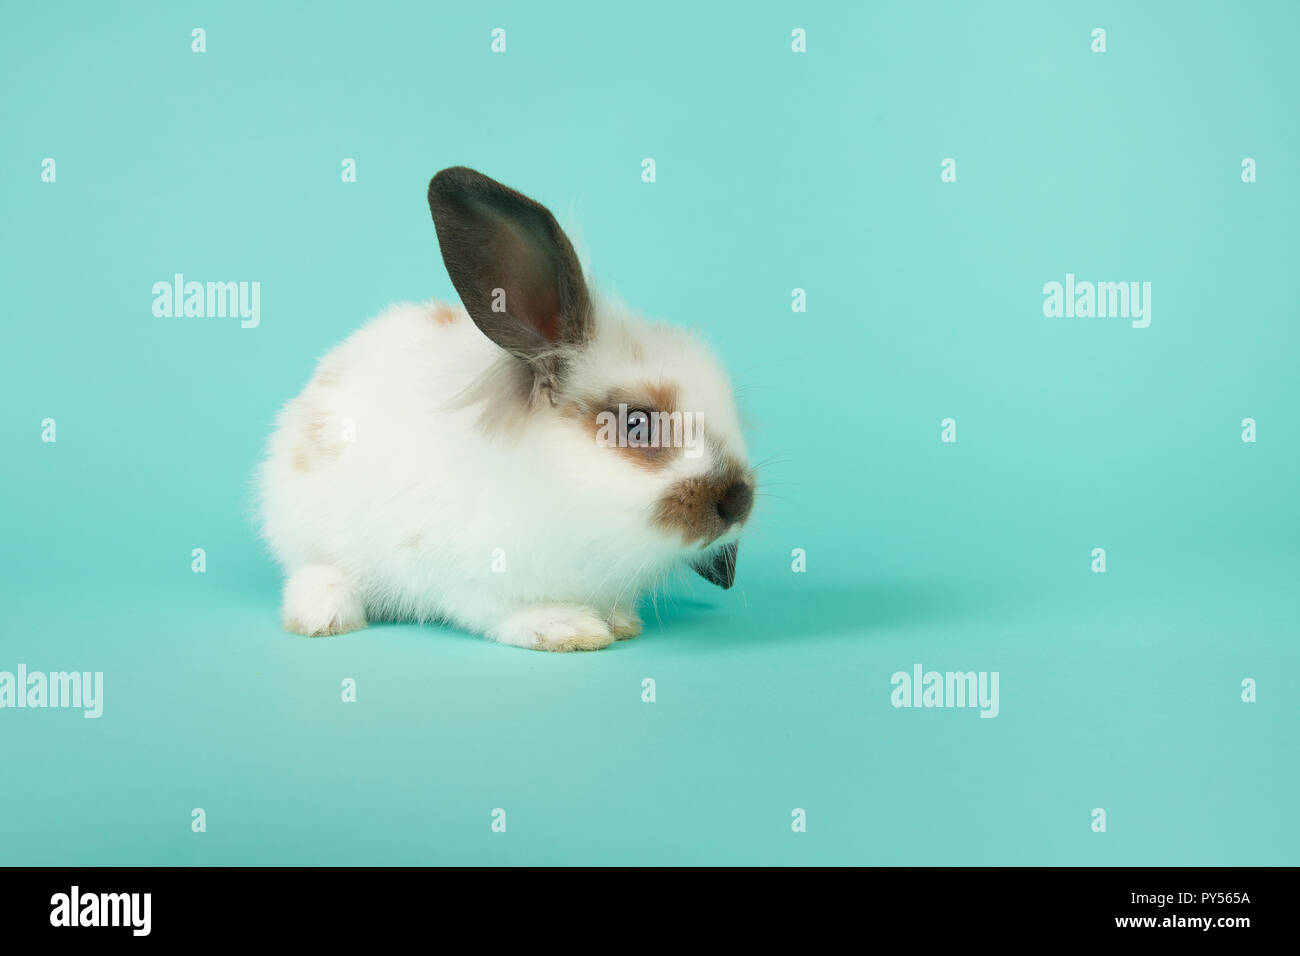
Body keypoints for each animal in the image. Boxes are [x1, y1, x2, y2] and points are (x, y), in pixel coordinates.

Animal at [256, 167, 754, 655]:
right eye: (637, 424)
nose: (738, 502)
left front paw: (620, 622)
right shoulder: (473, 577)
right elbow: (504, 612)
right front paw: (567, 629)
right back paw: (326, 616)